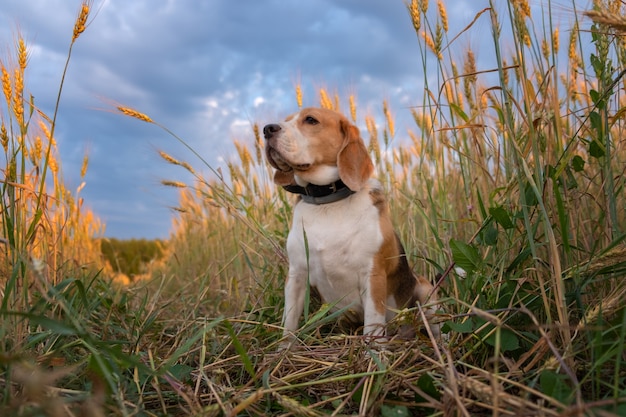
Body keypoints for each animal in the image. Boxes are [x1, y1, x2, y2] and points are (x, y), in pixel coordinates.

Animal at [264, 106, 438, 344]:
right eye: (286, 120)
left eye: (310, 120)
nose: (266, 129)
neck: (328, 203)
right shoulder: (296, 276)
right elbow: (289, 323)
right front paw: (284, 350)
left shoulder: (373, 276)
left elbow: (373, 325)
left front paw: (374, 352)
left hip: (426, 291)